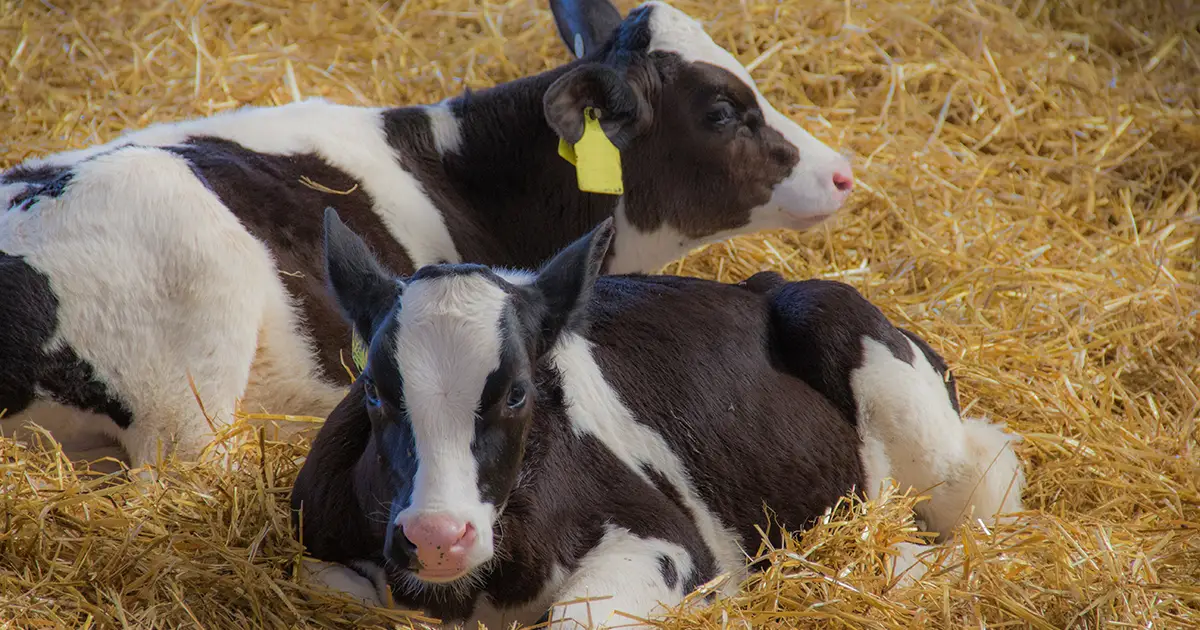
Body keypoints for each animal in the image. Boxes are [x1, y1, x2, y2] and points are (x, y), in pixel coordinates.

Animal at [289, 209, 1027, 629]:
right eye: (375, 391)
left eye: (518, 393)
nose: (437, 535)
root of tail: (760, 285)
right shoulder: (309, 545)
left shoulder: (665, 540)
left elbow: (582, 618)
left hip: (891, 388)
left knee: (979, 482)